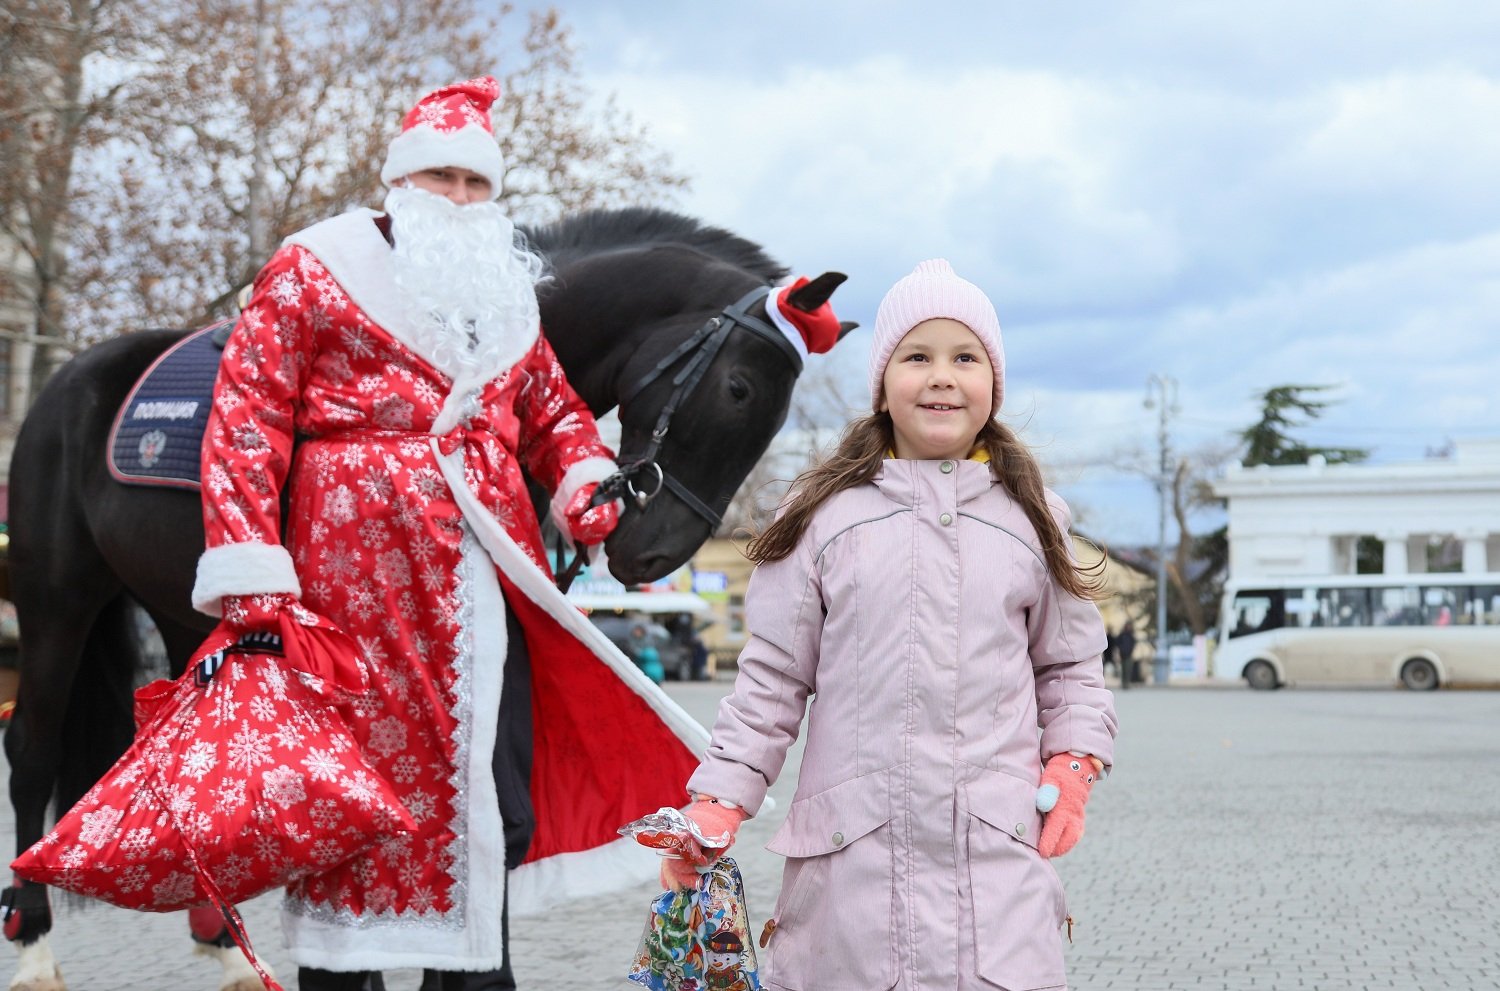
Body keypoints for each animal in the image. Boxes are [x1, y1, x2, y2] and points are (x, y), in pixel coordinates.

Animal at [0, 205, 852, 983]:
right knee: (31, 752)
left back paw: (224, 946)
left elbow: (498, 821)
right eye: (738, 389)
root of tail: (71, 376)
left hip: (182, 613)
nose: (656, 552)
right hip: (55, 602)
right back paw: (35, 946)